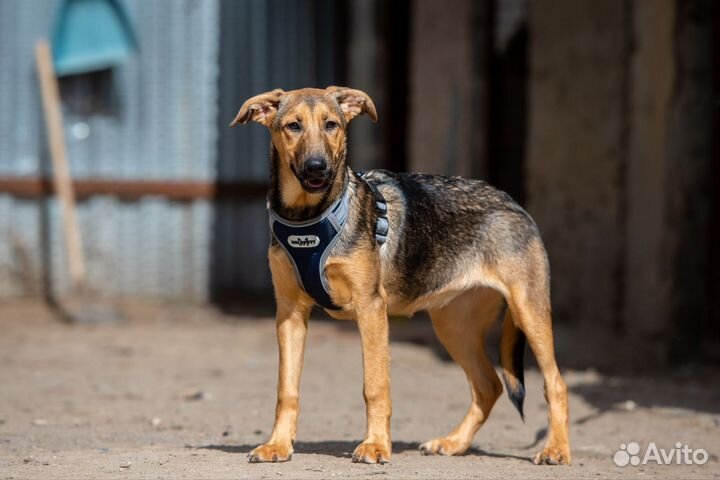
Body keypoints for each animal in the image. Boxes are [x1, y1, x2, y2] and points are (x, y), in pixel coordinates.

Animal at [229, 86, 568, 464]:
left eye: (332, 125)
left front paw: (376, 445)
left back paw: (556, 449)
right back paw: (453, 442)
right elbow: (286, 389)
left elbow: (375, 386)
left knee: (555, 383)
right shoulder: (289, 313)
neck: (309, 217)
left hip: (528, 309)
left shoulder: (370, 308)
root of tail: (514, 204)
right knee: (488, 385)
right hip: (454, 324)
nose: (319, 167)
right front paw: (278, 445)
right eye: (293, 126)